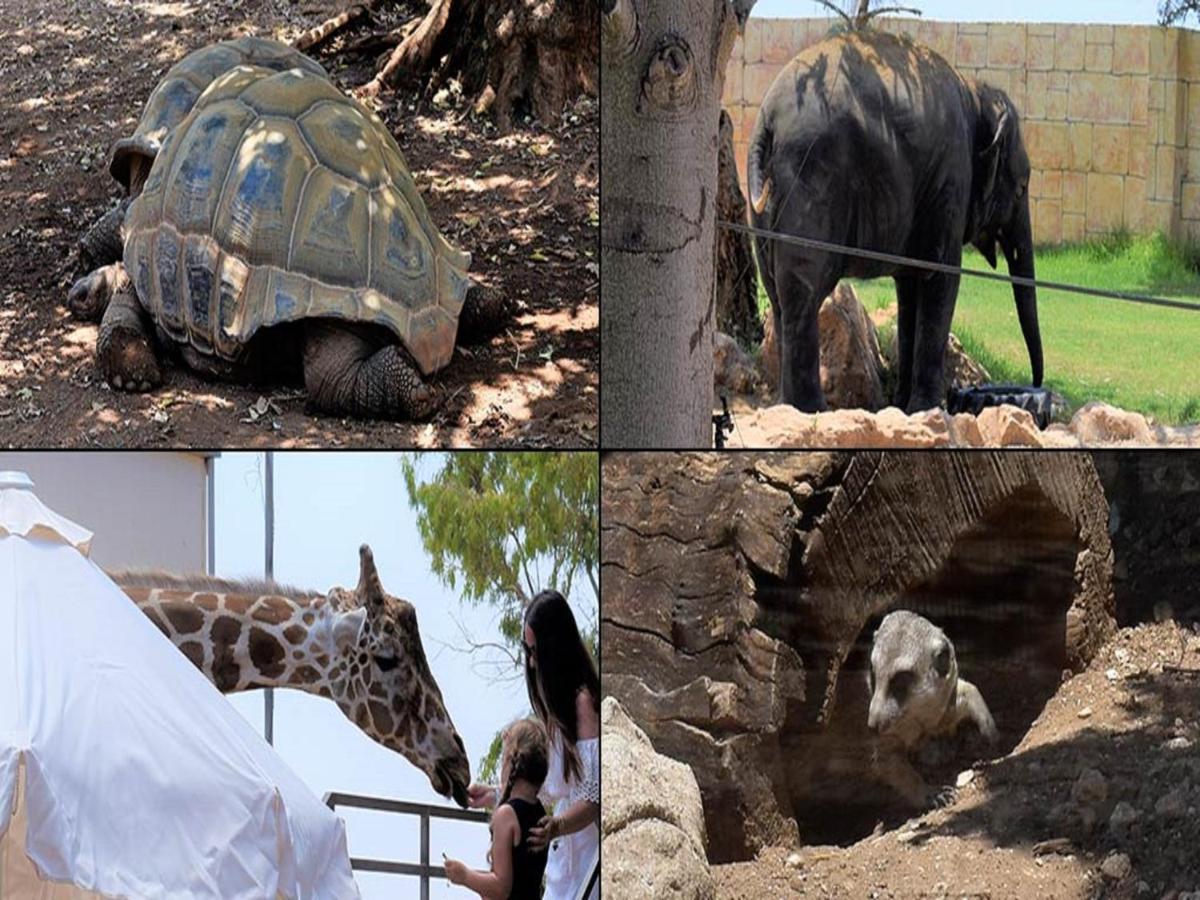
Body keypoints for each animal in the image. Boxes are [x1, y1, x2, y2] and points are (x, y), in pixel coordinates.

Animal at [748, 30, 1041, 415]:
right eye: (1021, 187)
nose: (1034, 386)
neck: (976, 92)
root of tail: (768, 120)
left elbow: (910, 287)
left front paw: (904, 407)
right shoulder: (951, 179)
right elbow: (942, 279)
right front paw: (928, 409)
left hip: (764, 211)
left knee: (778, 296)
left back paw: (787, 407)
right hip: (812, 181)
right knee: (804, 293)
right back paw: (812, 410)